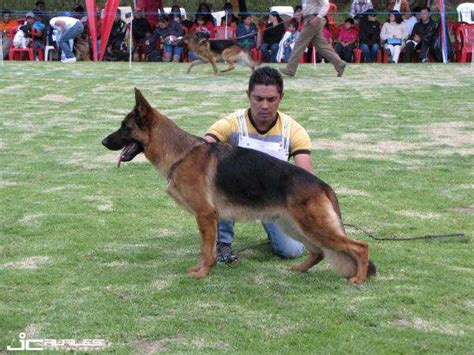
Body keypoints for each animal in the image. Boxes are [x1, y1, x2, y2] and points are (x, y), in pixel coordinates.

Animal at [102, 90, 376, 286]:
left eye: (125, 127)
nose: (103, 141)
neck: (181, 153)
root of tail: (322, 184)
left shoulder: (205, 215)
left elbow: (205, 250)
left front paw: (202, 272)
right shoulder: (208, 217)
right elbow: (205, 249)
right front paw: (202, 268)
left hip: (314, 227)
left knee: (360, 247)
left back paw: (359, 278)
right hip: (294, 226)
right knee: (318, 252)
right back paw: (299, 269)